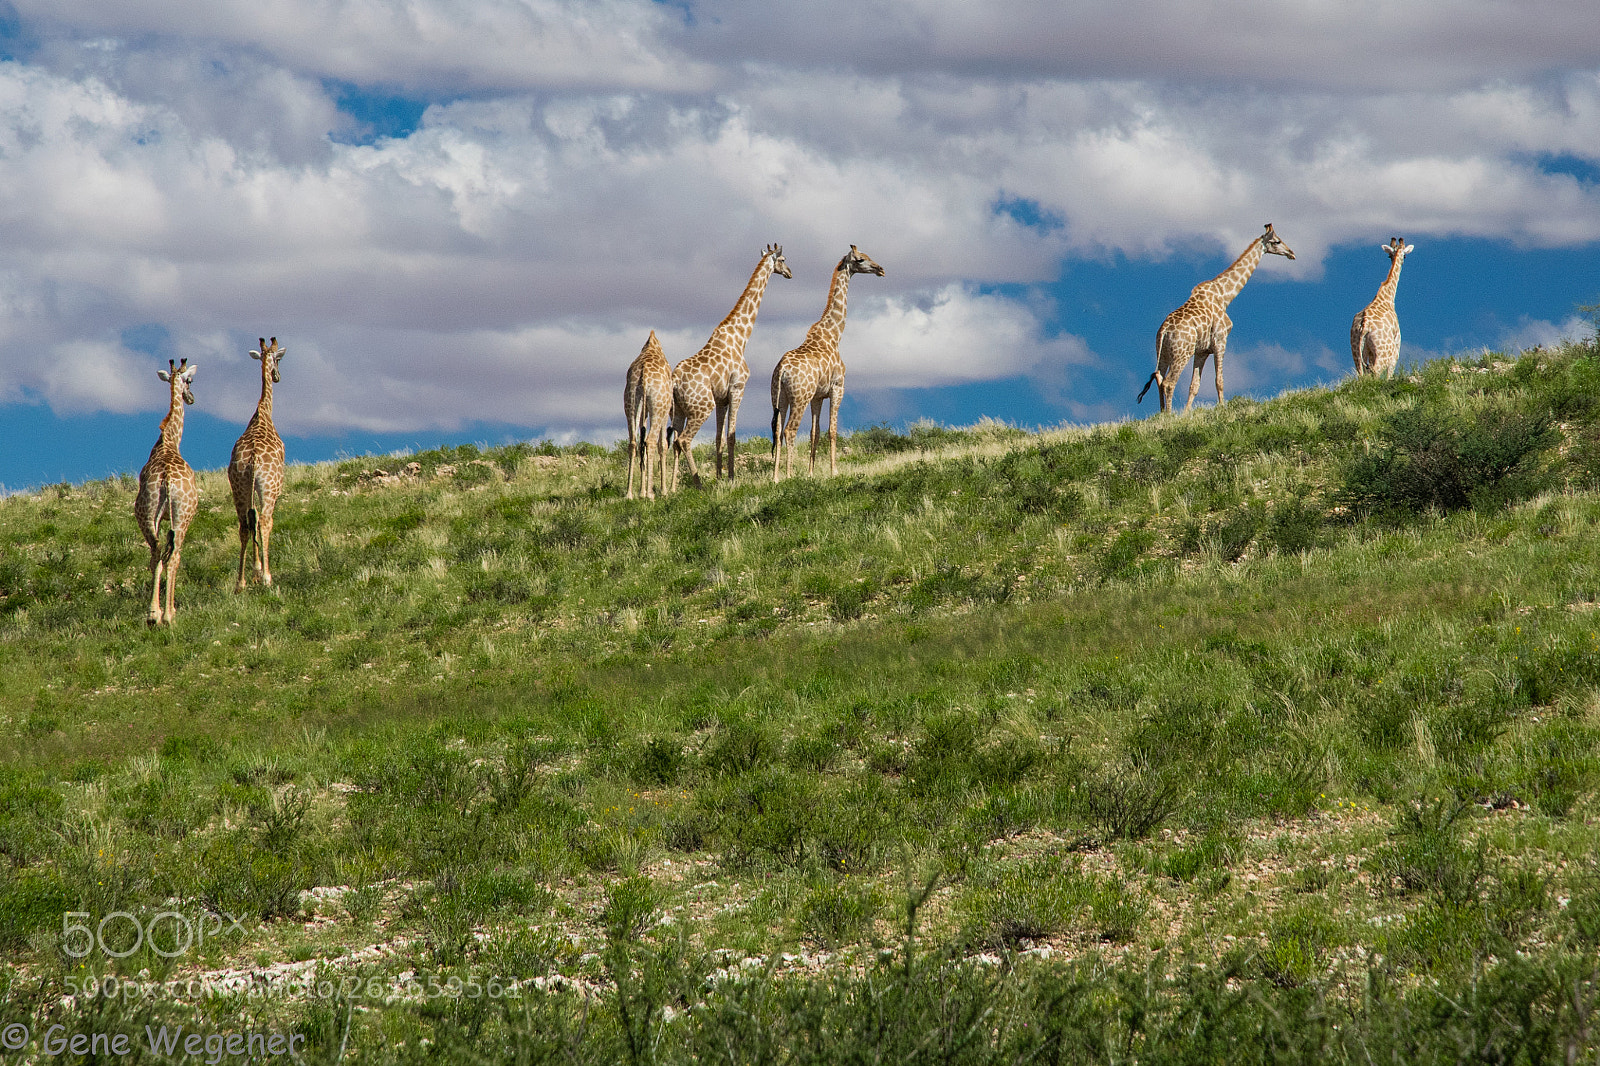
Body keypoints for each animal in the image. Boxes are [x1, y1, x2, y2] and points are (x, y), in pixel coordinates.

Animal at [624, 329, 673, 499]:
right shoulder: (665, 410)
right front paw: (663, 491)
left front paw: (641, 491)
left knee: (633, 442)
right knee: (651, 441)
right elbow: (663, 444)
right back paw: (651, 494)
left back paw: (629, 494)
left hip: (630, 401)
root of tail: (644, 374)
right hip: (658, 406)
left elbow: (641, 443)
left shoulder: (644, 412)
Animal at [669, 243, 792, 489]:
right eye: (782, 259)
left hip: (679, 409)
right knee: (684, 440)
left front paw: (720, 477)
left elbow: (719, 438)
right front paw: (732, 477)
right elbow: (732, 435)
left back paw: (670, 489)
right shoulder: (737, 389)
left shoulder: (721, 399)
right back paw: (698, 484)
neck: (741, 337)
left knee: (674, 442)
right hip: (701, 406)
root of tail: (675, 380)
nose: (790, 273)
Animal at [770, 245, 884, 482]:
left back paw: (775, 477)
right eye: (860, 259)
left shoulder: (818, 396)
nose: (881, 269)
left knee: (777, 430)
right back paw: (789, 475)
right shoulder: (837, 388)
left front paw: (811, 473)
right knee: (790, 430)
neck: (834, 335)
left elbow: (815, 432)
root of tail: (782, 370)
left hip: (779, 397)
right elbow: (832, 430)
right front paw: (834, 471)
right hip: (800, 397)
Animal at [1138, 223, 1296, 413]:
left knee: (1159, 379)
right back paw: (1169, 415)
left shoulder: (1202, 351)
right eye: (1277, 241)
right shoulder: (1220, 341)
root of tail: (1164, 331)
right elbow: (1219, 381)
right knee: (1169, 383)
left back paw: (1162, 414)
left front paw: (1186, 414)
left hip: (1163, 353)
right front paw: (1222, 409)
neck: (1225, 295)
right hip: (1182, 353)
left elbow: (1194, 385)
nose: (1292, 253)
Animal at [1351, 237, 1413, 379]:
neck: (1387, 297)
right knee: (1376, 370)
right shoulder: (1397, 344)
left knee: (1362, 374)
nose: (1402, 260)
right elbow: (1390, 374)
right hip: (1385, 352)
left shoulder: (1367, 352)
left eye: (1389, 255)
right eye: (1405, 255)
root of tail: (1364, 326)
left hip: (1356, 351)